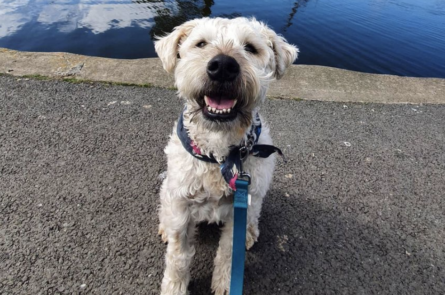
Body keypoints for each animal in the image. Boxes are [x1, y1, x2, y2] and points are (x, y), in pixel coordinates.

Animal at [154, 17, 296, 294]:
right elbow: (178, 256)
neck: (220, 152)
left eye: (250, 48)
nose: (222, 66)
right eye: (201, 44)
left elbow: (229, 252)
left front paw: (225, 284)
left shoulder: (241, 208)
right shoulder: (182, 205)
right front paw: (174, 286)